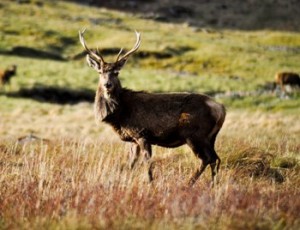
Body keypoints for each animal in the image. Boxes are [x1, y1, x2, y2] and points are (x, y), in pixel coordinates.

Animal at [78, 29, 226, 186]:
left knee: (206, 159)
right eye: (100, 72)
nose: (107, 85)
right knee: (215, 158)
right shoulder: (134, 138)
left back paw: (189, 183)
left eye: (116, 73)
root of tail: (221, 109)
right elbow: (131, 163)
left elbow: (147, 162)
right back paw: (213, 185)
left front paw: (150, 183)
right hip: (210, 137)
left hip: (195, 134)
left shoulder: (142, 134)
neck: (120, 115)